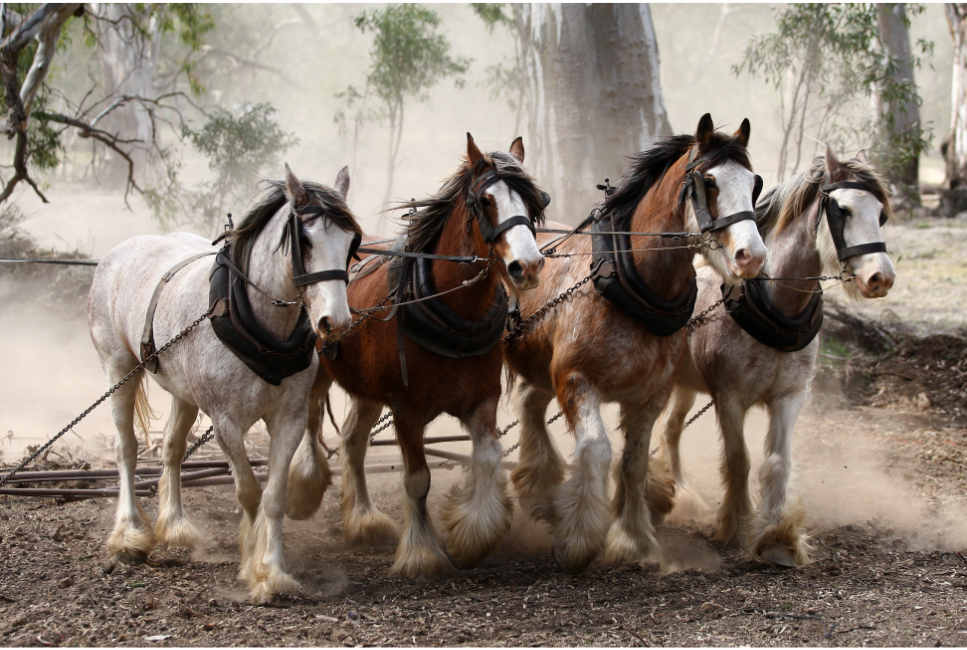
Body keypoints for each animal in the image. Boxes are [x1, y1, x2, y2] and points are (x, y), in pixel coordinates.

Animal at [87, 165, 362, 601]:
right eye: (305, 239)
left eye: (352, 242)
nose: (334, 322)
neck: (260, 331)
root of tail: (119, 253)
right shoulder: (226, 423)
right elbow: (248, 491)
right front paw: (252, 559)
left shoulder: (288, 420)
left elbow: (274, 496)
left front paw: (272, 570)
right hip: (118, 369)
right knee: (126, 450)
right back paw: (129, 534)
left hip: (182, 393)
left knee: (171, 449)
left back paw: (175, 525)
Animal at [303, 134, 546, 579]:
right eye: (485, 200)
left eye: (534, 202)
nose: (529, 265)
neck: (453, 312)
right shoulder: (406, 409)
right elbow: (417, 480)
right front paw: (421, 554)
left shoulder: (481, 399)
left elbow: (488, 457)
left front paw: (473, 534)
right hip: (314, 376)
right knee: (311, 428)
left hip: (365, 389)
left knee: (352, 440)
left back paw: (362, 519)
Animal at [502, 114, 769, 574]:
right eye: (709, 181)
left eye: (754, 183)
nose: (751, 256)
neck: (629, 284)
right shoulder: (576, 381)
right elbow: (596, 450)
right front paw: (579, 538)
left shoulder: (651, 394)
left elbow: (633, 462)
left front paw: (632, 539)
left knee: (529, 405)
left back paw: (540, 487)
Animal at [653, 146, 895, 566]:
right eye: (843, 210)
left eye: (880, 213)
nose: (881, 277)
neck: (776, 309)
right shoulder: (730, 398)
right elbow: (739, 460)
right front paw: (736, 527)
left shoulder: (790, 396)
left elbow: (777, 463)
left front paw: (777, 535)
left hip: (687, 385)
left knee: (670, 429)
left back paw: (685, 493)